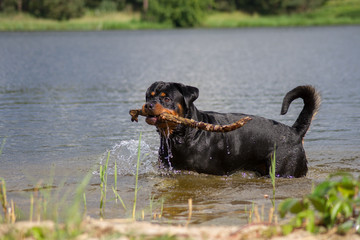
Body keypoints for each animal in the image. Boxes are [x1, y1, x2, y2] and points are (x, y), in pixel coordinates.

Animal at [141, 81, 320, 177]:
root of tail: (295, 132)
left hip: (285, 169)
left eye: (166, 98)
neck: (183, 135)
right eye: (148, 97)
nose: (148, 105)